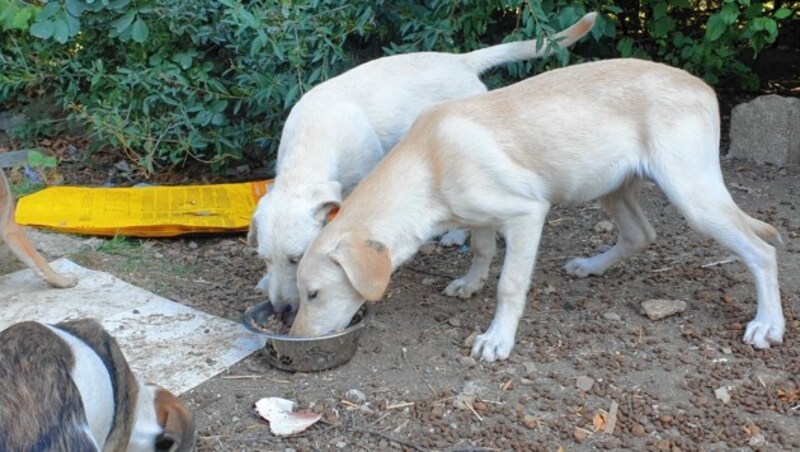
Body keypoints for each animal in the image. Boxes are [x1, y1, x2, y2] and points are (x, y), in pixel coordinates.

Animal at [290, 59, 784, 364]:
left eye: (313, 294)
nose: (294, 337)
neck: (429, 161)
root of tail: (703, 86)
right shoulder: (481, 217)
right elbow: (481, 252)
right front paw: (470, 283)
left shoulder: (526, 214)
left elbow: (509, 284)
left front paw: (497, 339)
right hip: (610, 185)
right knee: (640, 233)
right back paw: (591, 265)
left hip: (692, 194)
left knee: (761, 251)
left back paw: (768, 324)